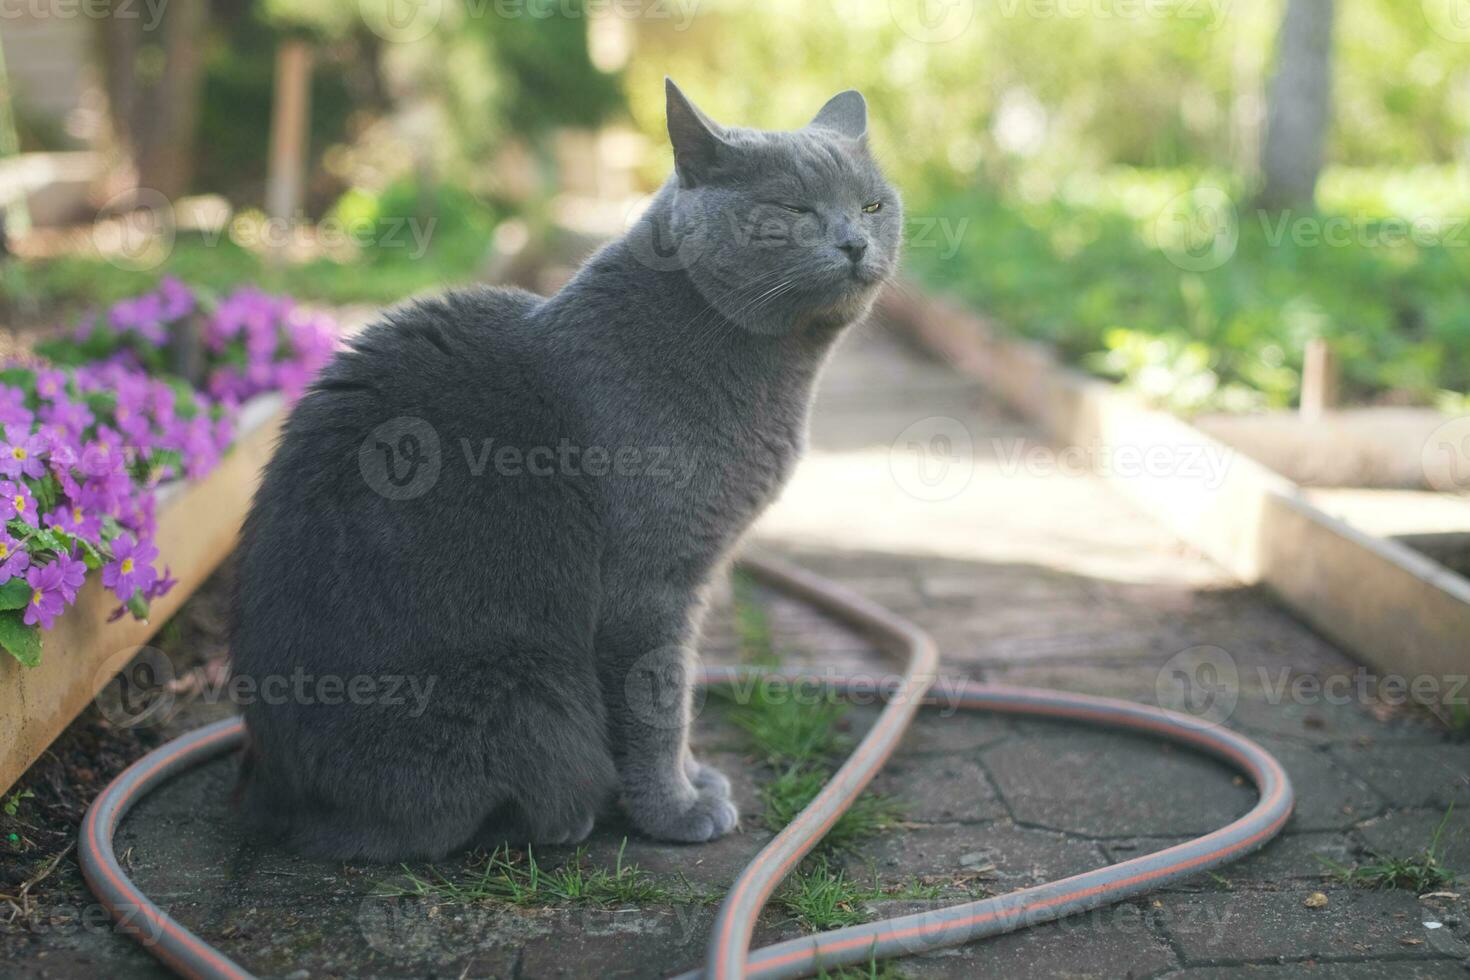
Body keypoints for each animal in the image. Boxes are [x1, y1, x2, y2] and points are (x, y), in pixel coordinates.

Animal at [230, 82, 899, 858]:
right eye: (792, 209)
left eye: (873, 206)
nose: (855, 241)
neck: (774, 372)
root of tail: (273, 785)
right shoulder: (649, 584)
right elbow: (659, 702)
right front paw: (675, 810)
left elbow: (678, 692)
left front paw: (694, 780)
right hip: (523, 689)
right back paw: (568, 816)